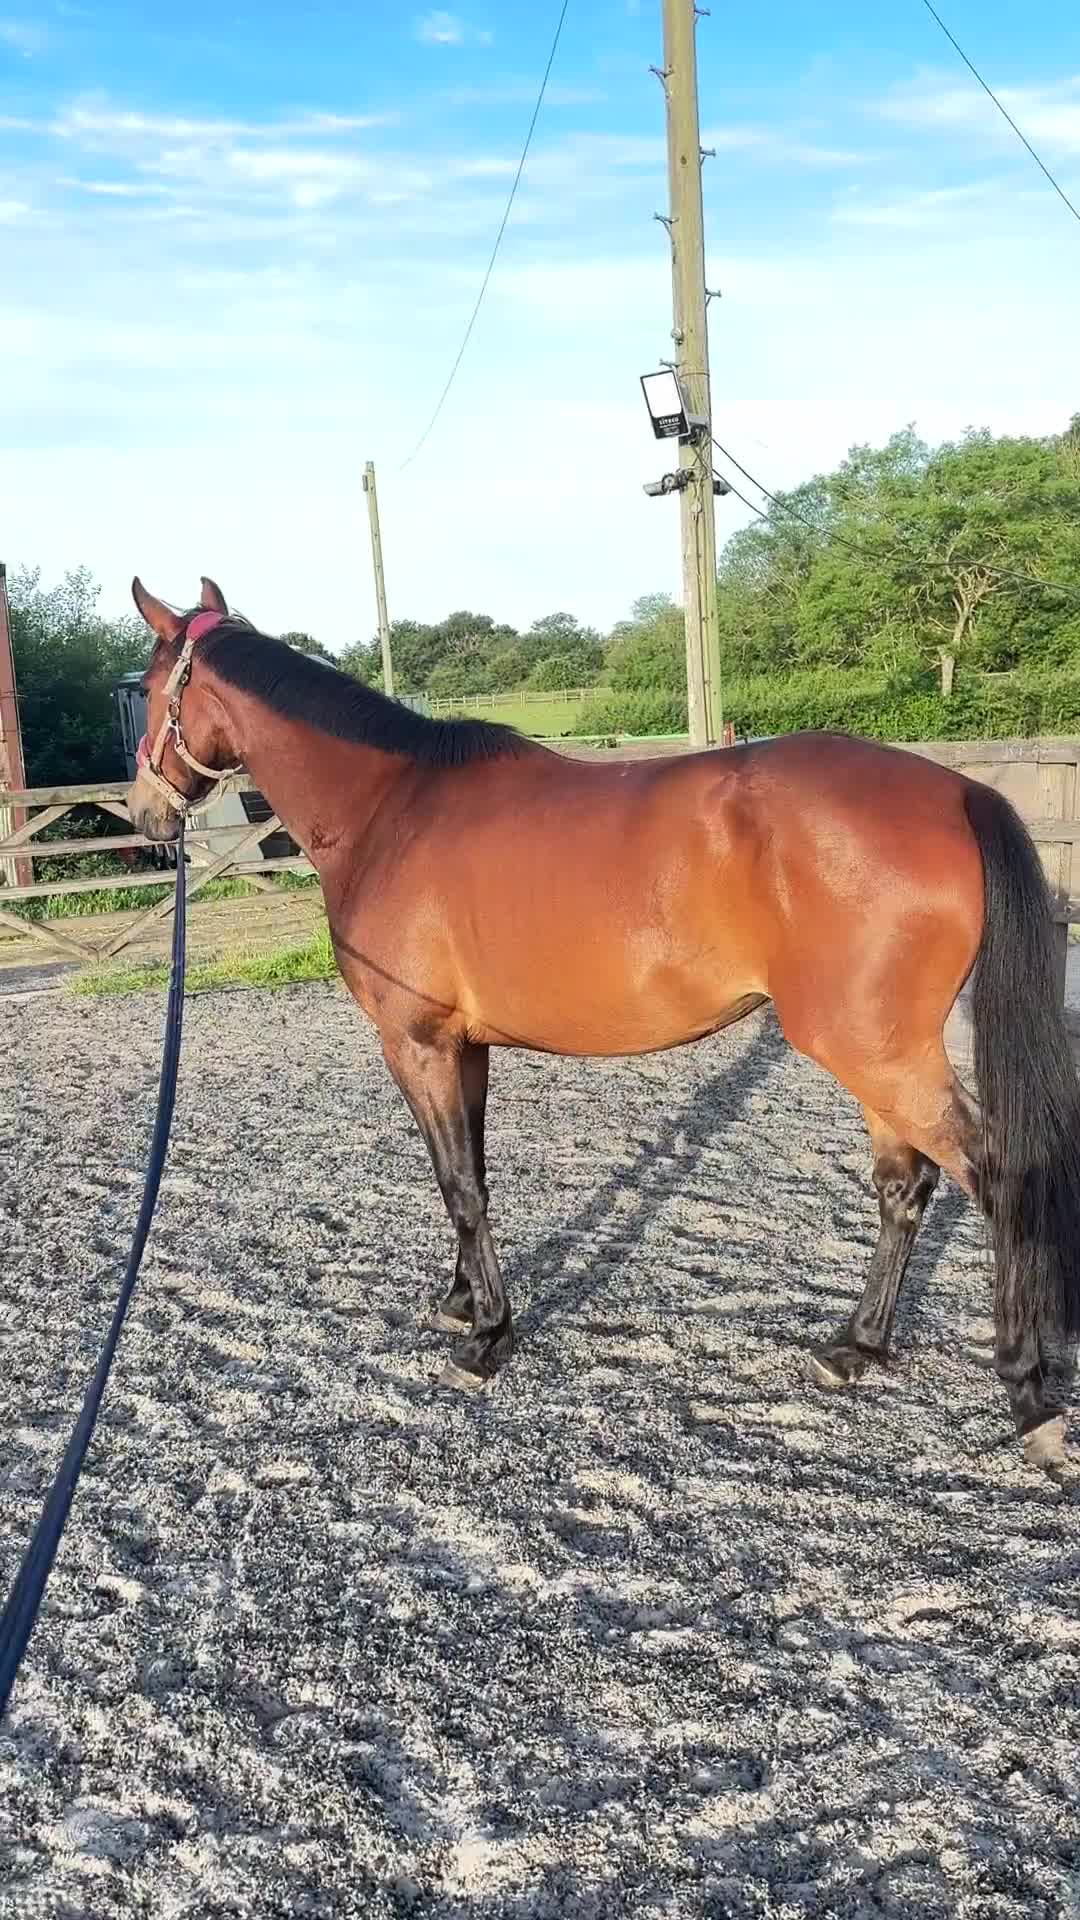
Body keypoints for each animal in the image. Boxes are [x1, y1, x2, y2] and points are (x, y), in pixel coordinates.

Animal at [126, 576, 1080, 1476]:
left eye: (145, 686)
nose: (146, 816)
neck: (388, 808)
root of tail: (956, 792)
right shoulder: (464, 1047)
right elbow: (470, 1175)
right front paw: (465, 1302)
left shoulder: (416, 1043)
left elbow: (458, 1184)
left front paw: (485, 1339)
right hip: (878, 1055)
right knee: (903, 1188)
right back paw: (856, 1348)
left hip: (872, 1051)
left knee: (999, 1178)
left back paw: (1027, 1394)